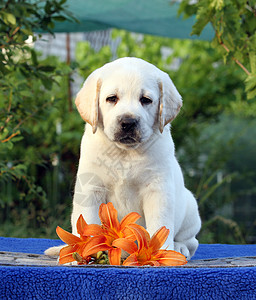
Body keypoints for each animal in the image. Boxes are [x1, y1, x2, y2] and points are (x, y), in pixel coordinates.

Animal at [46, 57, 202, 258]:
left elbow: (160, 226)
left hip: (191, 210)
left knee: (191, 241)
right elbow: (87, 222)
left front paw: (161, 254)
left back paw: (179, 249)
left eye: (146, 100)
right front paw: (84, 254)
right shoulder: (92, 189)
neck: (124, 153)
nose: (128, 122)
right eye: (112, 98)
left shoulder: (157, 190)